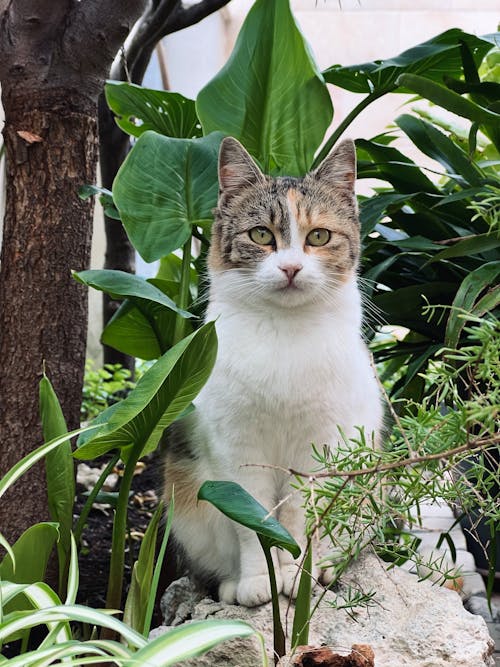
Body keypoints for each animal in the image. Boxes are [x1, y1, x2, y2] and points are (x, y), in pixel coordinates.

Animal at [164, 137, 382, 612]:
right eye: (261, 235)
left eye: (319, 236)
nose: (291, 268)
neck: (285, 332)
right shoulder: (237, 453)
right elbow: (254, 522)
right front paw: (258, 581)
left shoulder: (320, 450)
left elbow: (299, 519)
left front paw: (298, 576)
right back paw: (231, 584)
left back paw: (325, 569)